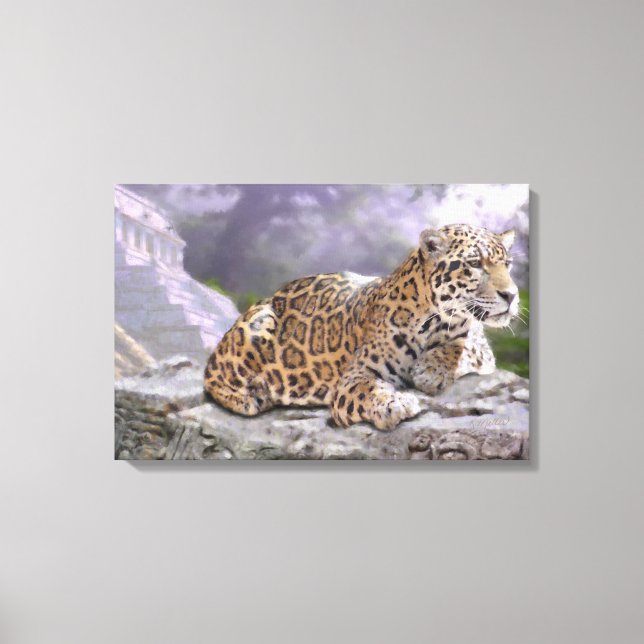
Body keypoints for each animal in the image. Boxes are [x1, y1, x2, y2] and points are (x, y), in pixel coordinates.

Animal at [204, 224, 519, 431]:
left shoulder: (480, 346)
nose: (512, 295)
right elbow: (369, 390)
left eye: (507, 264)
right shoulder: (355, 376)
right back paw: (252, 395)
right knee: (214, 377)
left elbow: (462, 347)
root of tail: (269, 296)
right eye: (474, 263)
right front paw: (395, 404)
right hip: (256, 324)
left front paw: (430, 370)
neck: (436, 320)